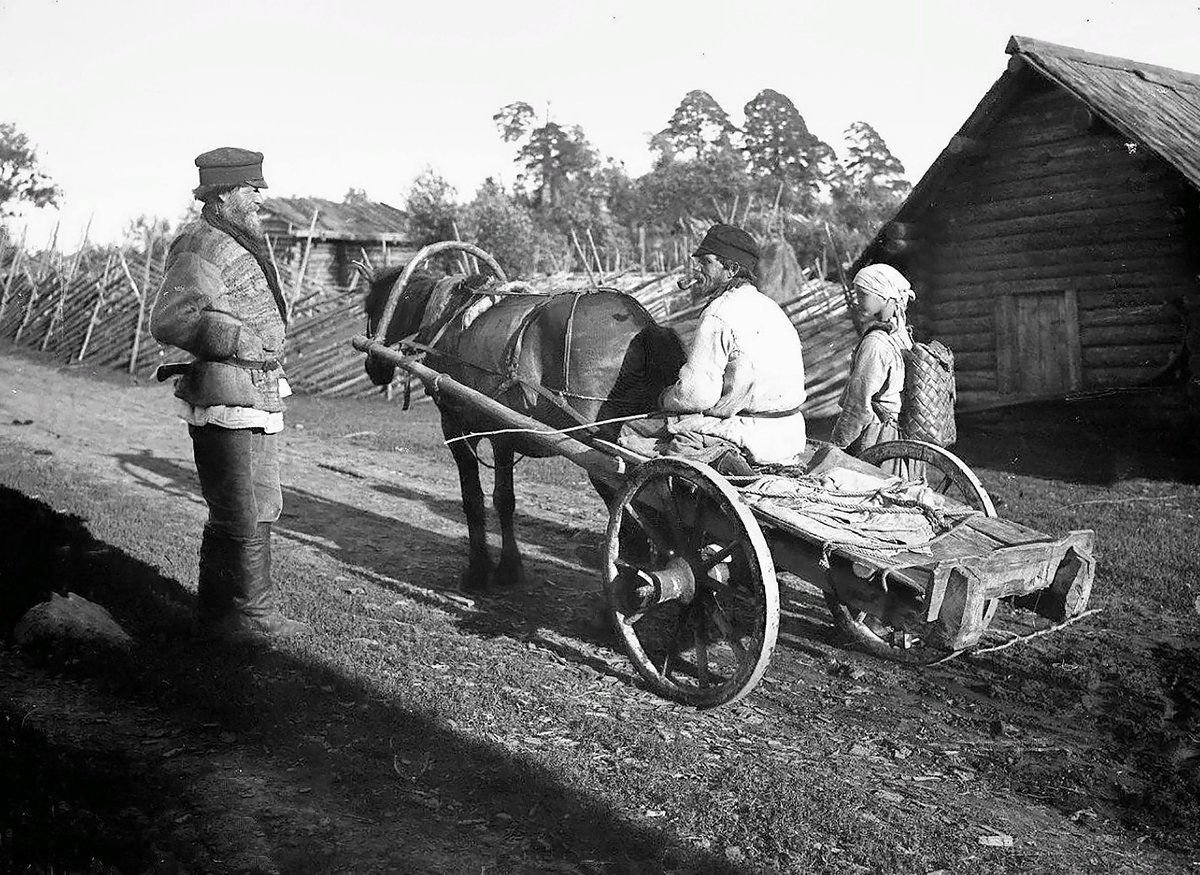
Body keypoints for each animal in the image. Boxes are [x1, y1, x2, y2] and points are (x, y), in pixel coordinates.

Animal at [360, 242, 686, 590]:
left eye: (369, 308)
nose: (374, 368)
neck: (446, 319)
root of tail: (644, 325)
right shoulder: (503, 432)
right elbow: (504, 499)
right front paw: (509, 567)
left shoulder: (456, 426)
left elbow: (473, 498)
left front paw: (478, 570)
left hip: (602, 454)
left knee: (632, 524)